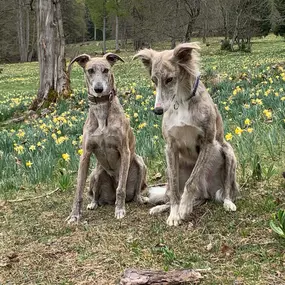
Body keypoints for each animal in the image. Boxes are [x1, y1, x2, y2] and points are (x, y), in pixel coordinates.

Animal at [65, 52, 146, 222]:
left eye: (106, 70)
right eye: (90, 70)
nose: (98, 89)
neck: (102, 112)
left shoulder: (124, 151)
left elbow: (121, 189)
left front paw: (120, 210)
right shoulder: (85, 154)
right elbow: (78, 191)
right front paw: (74, 215)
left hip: (140, 162)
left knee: (133, 190)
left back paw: (139, 198)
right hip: (95, 174)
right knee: (94, 194)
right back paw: (93, 203)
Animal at [133, 42, 237, 225]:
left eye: (170, 79)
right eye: (154, 80)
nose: (157, 110)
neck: (181, 101)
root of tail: (208, 191)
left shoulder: (207, 142)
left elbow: (191, 181)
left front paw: (183, 207)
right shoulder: (170, 147)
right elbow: (175, 188)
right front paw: (174, 213)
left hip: (228, 151)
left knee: (225, 188)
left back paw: (227, 202)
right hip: (175, 166)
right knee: (184, 194)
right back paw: (162, 207)